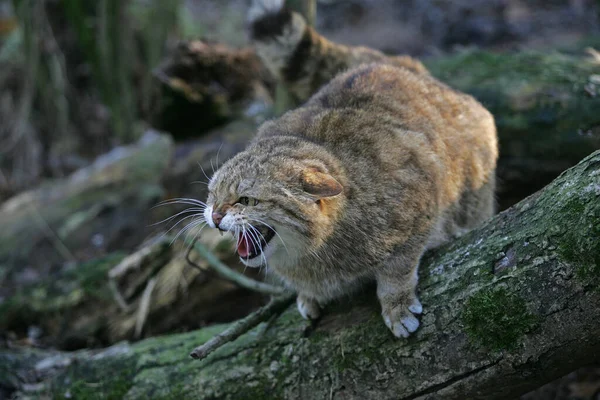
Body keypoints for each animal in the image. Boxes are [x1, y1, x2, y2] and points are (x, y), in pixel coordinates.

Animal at [202, 0, 496, 338]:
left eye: (246, 200)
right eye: (212, 195)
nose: (215, 216)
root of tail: (398, 63)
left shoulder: (420, 201)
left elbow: (397, 268)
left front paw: (396, 304)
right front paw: (307, 295)